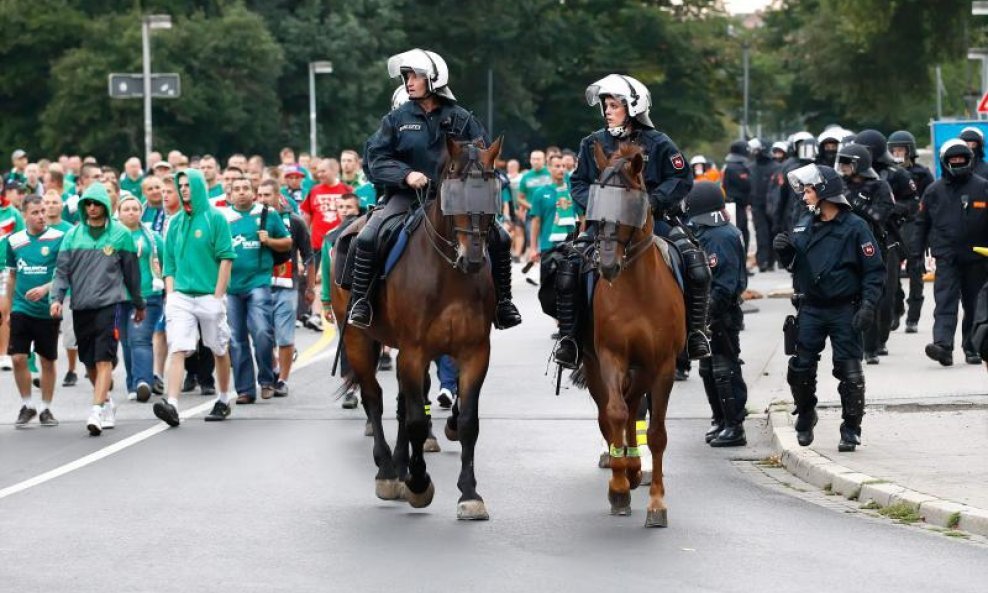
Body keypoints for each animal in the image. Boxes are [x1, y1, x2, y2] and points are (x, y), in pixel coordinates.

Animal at [330, 135, 502, 520]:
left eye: (492, 191)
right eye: (453, 190)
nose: (473, 257)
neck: (450, 272)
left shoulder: (474, 352)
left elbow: (467, 421)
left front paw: (469, 493)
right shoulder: (414, 351)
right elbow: (416, 421)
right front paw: (420, 484)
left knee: (400, 402)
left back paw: (400, 463)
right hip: (358, 339)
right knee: (374, 399)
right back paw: (388, 471)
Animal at [580, 142, 688, 528]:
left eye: (630, 200)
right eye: (598, 198)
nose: (607, 264)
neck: (636, 287)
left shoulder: (663, 365)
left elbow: (655, 433)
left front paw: (656, 503)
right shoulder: (610, 356)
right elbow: (614, 412)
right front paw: (618, 489)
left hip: (643, 369)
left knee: (632, 408)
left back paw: (634, 466)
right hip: (598, 365)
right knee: (614, 411)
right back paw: (624, 469)